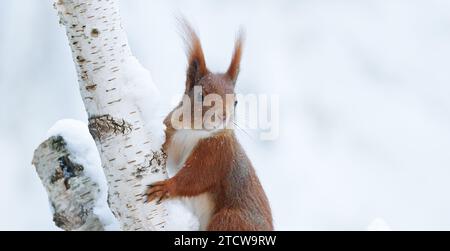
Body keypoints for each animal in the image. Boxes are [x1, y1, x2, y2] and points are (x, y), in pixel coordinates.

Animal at [146, 21, 272, 231]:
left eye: (235, 102)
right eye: (201, 95)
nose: (223, 116)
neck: (193, 131)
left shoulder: (217, 154)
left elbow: (196, 178)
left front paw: (167, 187)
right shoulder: (172, 131)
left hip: (230, 220)